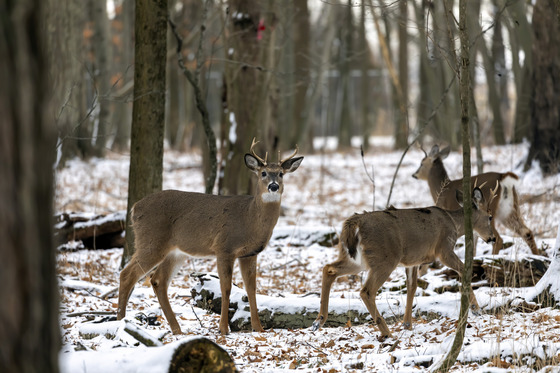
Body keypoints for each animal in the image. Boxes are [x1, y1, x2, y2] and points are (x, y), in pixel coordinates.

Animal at [116, 139, 304, 334]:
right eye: (263, 173)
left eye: (281, 174)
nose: (273, 186)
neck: (250, 218)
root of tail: (134, 208)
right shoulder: (224, 248)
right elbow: (226, 288)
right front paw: (223, 328)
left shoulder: (250, 253)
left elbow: (251, 289)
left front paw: (258, 328)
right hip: (151, 241)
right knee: (127, 274)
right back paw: (121, 320)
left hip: (175, 252)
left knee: (157, 280)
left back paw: (177, 329)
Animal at [310, 187, 494, 338]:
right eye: (490, 216)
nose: (492, 238)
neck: (454, 223)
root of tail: (354, 224)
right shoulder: (444, 250)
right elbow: (464, 269)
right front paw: (477, 310)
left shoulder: (412, 261)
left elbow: (412, 287)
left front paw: (407, 324)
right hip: (385, 259)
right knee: (366, 291)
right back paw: (386, 332)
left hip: (357, 260)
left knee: (329, 269)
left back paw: (318, 321)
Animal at [412, 144, 540, 254]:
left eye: (421, 163)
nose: (414, 175)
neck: (442, 189)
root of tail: (503, 176)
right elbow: (472, 248)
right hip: (509, 210)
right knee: (527, 232)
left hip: (492, 210)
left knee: (498, 239)